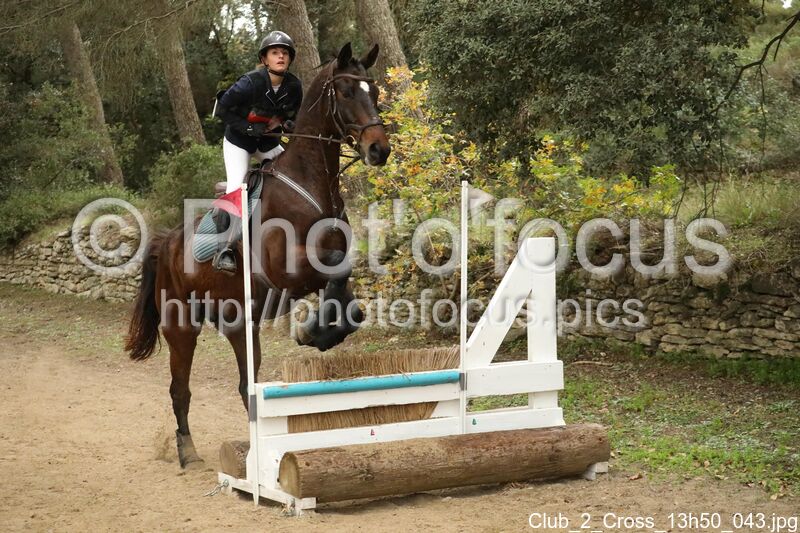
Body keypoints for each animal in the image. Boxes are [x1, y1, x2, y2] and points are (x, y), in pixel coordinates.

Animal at [124, 43, 391, 467]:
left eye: (375, 91)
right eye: (347, 92)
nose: (379, 149)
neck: (311, 183)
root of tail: (166, 243)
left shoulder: (322, 271)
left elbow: (349, 303)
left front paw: (319, 333)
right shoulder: (288, 270)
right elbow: (336, 271)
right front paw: (310, 330)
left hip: (238, 323)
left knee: (244, 385)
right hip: (182, 326)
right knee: (180, 388)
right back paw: (188, 452)